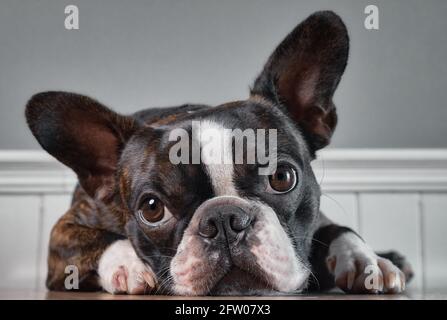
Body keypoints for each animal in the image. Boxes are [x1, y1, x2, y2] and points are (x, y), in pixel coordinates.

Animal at [26, 10, 412, 296]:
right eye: (152, 208)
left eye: (282, 177)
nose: (224, 219)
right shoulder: (64, 233)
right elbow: (97, 239)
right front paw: (129, 263)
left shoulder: (318, 218)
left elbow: (338, 229)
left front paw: (366, 261)